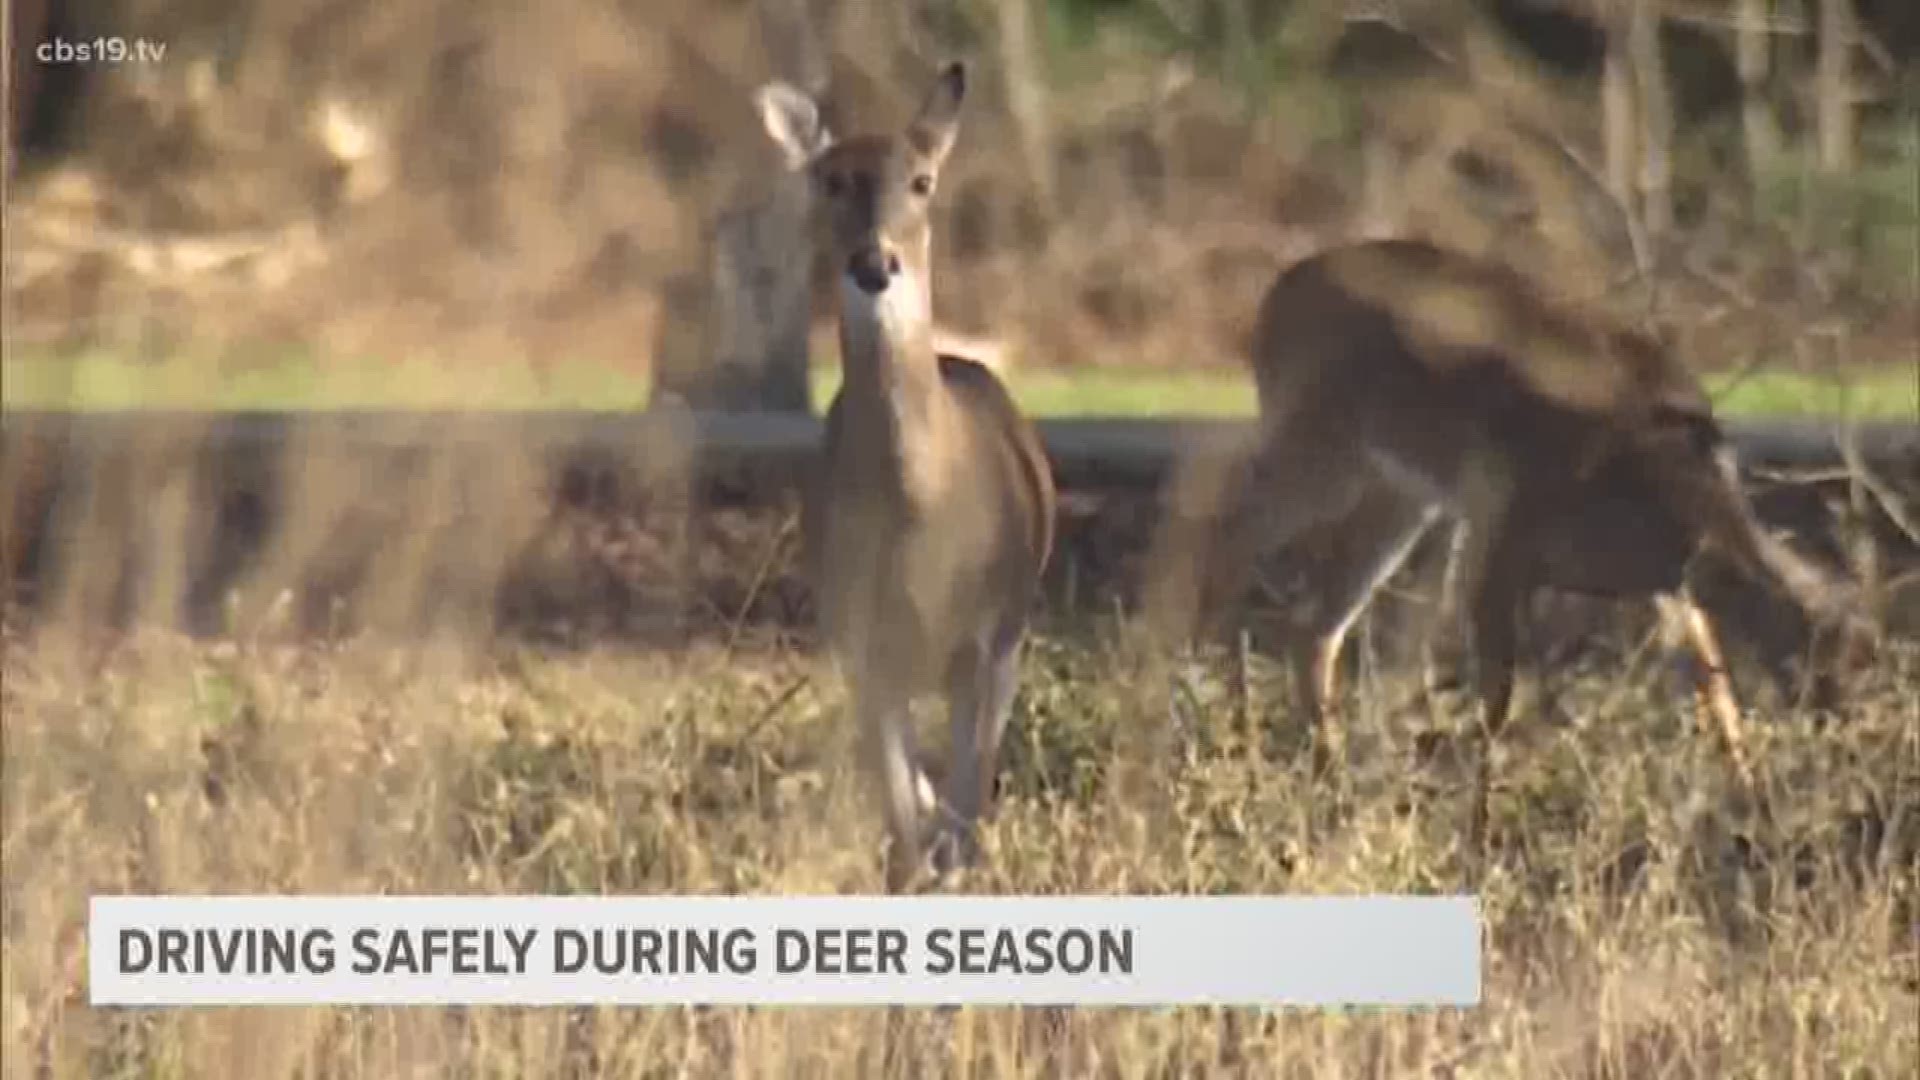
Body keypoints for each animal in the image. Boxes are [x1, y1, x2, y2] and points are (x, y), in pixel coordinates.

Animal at [752, 58, 1059, 887]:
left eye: (921, 181)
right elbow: (904, 822)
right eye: (831, 180)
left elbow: (964, 808)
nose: (874, 263)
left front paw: (961, 866)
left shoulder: (988, 638)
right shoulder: (863, 644)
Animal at [1136, 237, 1858, 849]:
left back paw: (1322, 787)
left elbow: (1717, 691)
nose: (1838, 732)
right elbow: (1498, 700)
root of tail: (1275, 295)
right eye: (1808, 659)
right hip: (1324, 446)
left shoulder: (1664, 585)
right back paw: (1209, 740)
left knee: (1312, 623)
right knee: (1216, 522)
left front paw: (1758, 810)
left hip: (1399, 492)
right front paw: (1478, 837)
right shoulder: (1501, 529)